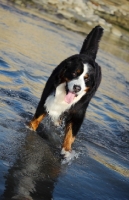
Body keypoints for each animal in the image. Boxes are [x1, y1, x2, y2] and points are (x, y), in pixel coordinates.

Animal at [28, 25, 104, 158]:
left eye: (86, 79)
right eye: (74, 73)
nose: (77, 88)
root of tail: (88, 55)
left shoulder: (78, 113)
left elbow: (70, 134)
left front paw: (67, 151)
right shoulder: (47, 97)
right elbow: (37, 117)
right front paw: (30, 128)